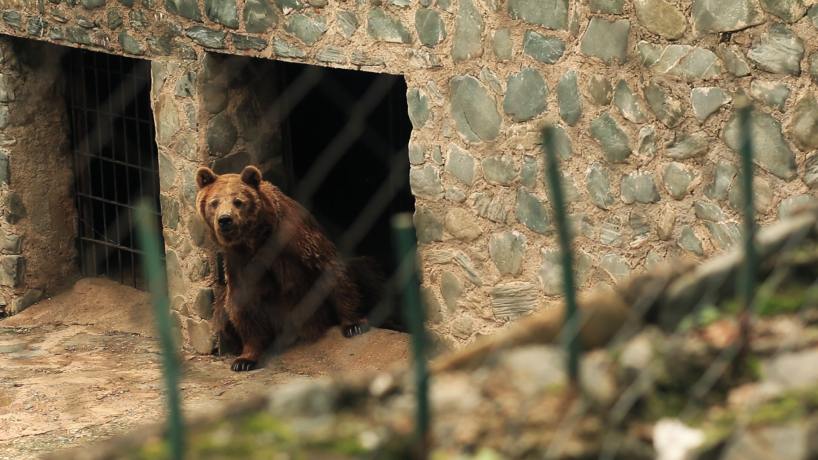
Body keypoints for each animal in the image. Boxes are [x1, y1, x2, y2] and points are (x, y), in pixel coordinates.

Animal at [193, 164, 372, 372]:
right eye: (214, 202)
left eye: (238, 201)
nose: (224, 219)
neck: (257, 238)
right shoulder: (240, 261)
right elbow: (242, 303)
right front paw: (244, 359)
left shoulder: (294, 237)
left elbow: (329, 269)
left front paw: (354, 324)